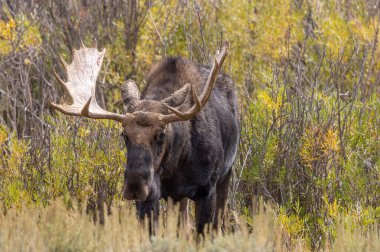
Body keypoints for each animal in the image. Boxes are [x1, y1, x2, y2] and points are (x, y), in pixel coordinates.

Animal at [49, 42, 240, 233]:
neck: (176, 163)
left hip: (225, 175)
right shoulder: (151, 197)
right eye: (124, 134)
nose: (135, 185)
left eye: (161, 134)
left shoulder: (206, 191)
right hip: (177, 199)